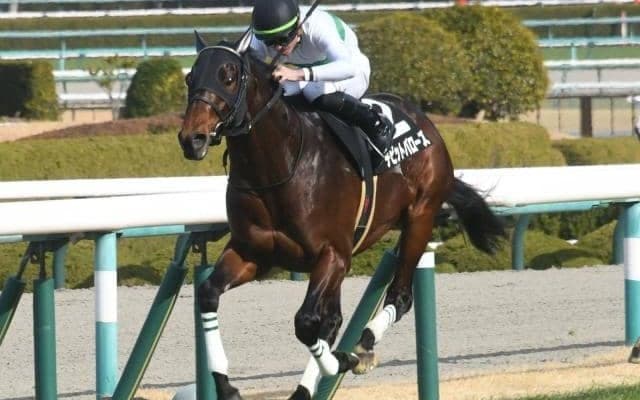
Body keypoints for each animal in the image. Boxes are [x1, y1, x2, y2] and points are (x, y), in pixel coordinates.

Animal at [177, 34, 506, 400]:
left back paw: (363, 345)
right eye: (190, 78)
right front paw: (226, 385)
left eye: (228, 76)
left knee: (399, 297)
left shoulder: (332, 254)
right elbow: (209, 294)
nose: (192, 138)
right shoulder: (254, 253)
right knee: (333, 318)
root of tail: (426, 123)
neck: (280, 167)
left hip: (420, 218)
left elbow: (307, 322)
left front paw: (343, 360)